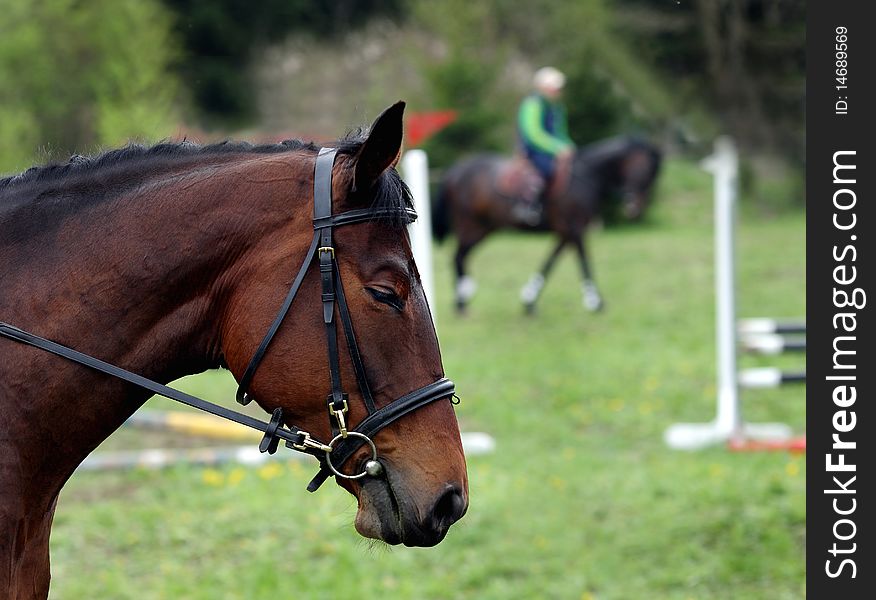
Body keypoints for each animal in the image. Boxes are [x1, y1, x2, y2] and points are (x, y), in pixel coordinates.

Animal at [434, 136, 660, 314]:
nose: (635, 208)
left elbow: (550, 262)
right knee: (458, 256)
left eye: (653, 175)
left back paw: (463, 299)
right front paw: (595, 302)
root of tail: (455, 170)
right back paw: (462, 300)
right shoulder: (574, 229)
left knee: (461, 256)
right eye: (644, 171)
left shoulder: (566, 232)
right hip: (470, 225)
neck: (586, 178)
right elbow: (583, 261)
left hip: (484, 228)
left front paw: (529, 300)